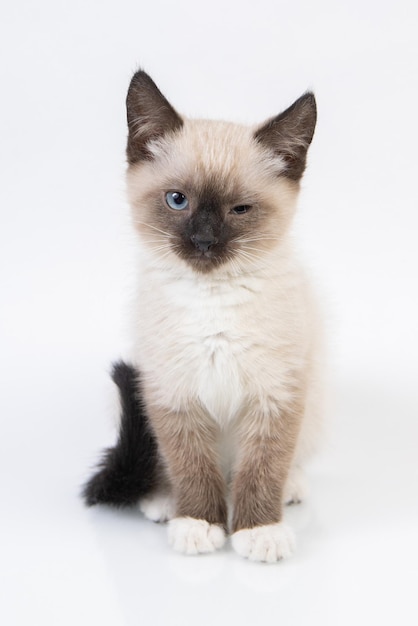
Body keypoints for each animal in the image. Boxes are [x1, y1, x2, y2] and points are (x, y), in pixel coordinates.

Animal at [83, 70, 322, 564]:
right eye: (178, 201)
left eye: (240, 210)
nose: (205, 241)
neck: (212, 298)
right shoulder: (172, 394)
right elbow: (191, 465)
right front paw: (198, 523)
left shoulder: (276, 395)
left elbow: (263, 467)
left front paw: (259, 531)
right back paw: (164, 502)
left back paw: (291, 489)